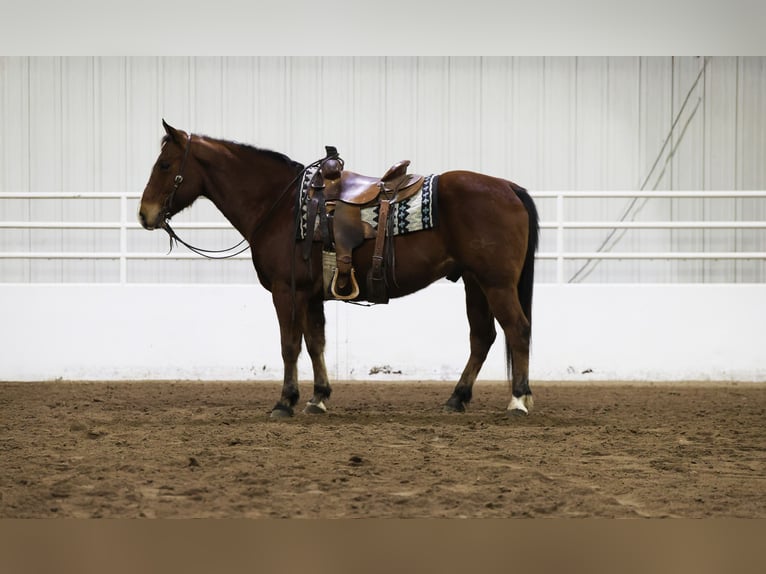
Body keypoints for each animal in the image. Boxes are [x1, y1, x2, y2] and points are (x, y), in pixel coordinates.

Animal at [141, 121, 544, 418]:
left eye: (165, 165)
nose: (144, 214)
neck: (281, 206)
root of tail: (509, 187)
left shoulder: (286, 291)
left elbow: (289, 345)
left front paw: (284, 402)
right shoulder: (310, 294)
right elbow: (315, 342)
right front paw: (318, 398)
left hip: (496, 283)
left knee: (518, 329)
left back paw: (518, 400)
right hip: (475, 283)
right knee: (483, 337)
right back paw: (457, 398)